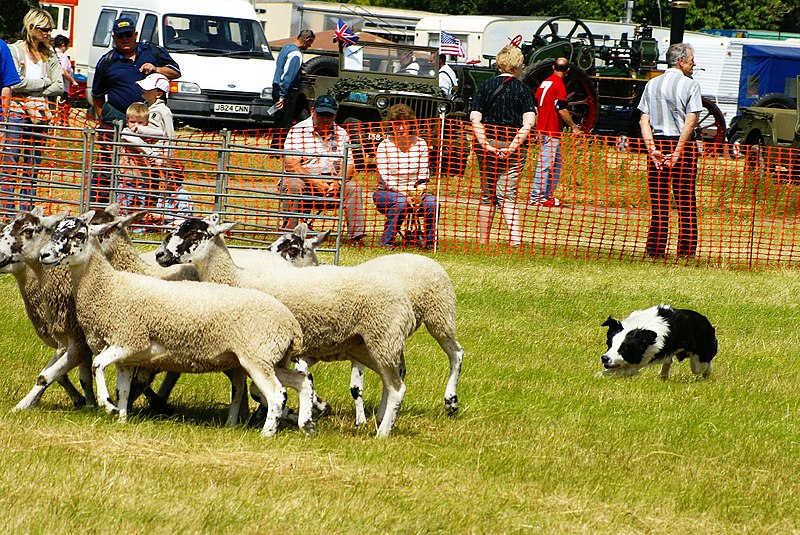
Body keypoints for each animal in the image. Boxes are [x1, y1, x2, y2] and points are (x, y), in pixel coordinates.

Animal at [39, 216, 316, 438]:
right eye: (54, 231)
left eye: (78, 235)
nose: (44, 255)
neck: (109, 286)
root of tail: (290, 324)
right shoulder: (127, 357)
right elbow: (124, 388)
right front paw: (122, 418)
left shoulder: (130, 340)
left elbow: (98, 365)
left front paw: (107, 404)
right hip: (268, 360)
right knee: (301, 381)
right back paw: (306, 425)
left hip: (257, 358)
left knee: (277, 393)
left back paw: (268, 432)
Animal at [157, 215, 418, 440]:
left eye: (194, 234)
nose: (160, 254)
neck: (236, 278)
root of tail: (405, 300)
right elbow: (251, 388)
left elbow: (260, 390)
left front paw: (287, 416)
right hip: (364, 345)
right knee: (391, 383)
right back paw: (380, 419)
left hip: (383, 339)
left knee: (397, 387)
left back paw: (381, 433)